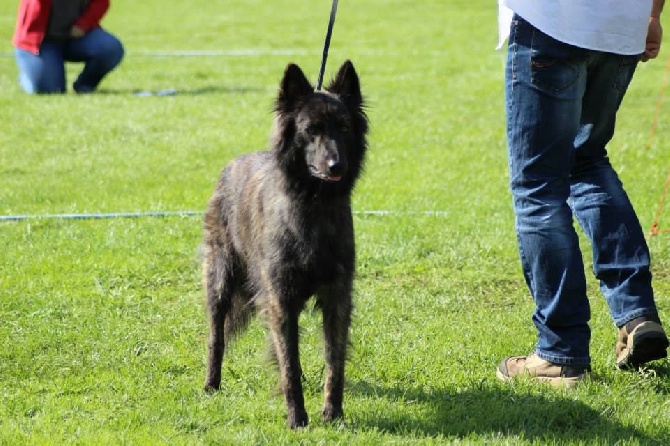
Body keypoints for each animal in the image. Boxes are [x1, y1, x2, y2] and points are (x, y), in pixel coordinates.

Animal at [202, 60, 370, 428]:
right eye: (311, 130)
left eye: (343, 127)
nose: (336, 165)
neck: (314, 207)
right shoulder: (280, 299)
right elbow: (290, 366)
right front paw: (297, 418)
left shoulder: (337, 297)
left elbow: (334, 362)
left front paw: (332, 413)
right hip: (220, 281)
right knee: (216, 334)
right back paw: (211, 384)